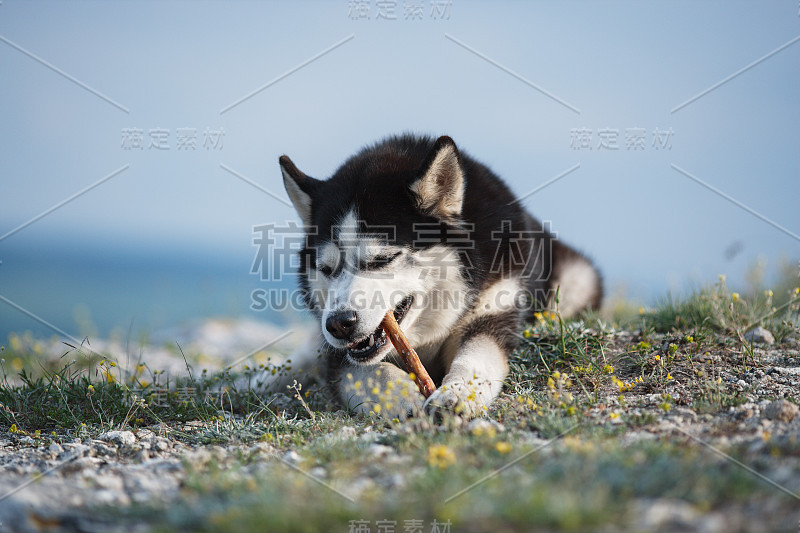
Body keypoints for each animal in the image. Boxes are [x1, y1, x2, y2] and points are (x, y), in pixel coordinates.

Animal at [278, 135, 596, 418]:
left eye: (383, 259)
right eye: (326, 269)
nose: (339, 324)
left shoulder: (494, 309)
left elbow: (476, 358)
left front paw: (457, 394)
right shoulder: (338, 355)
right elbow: (372, 372)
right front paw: (404, 397)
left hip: (576, 281)